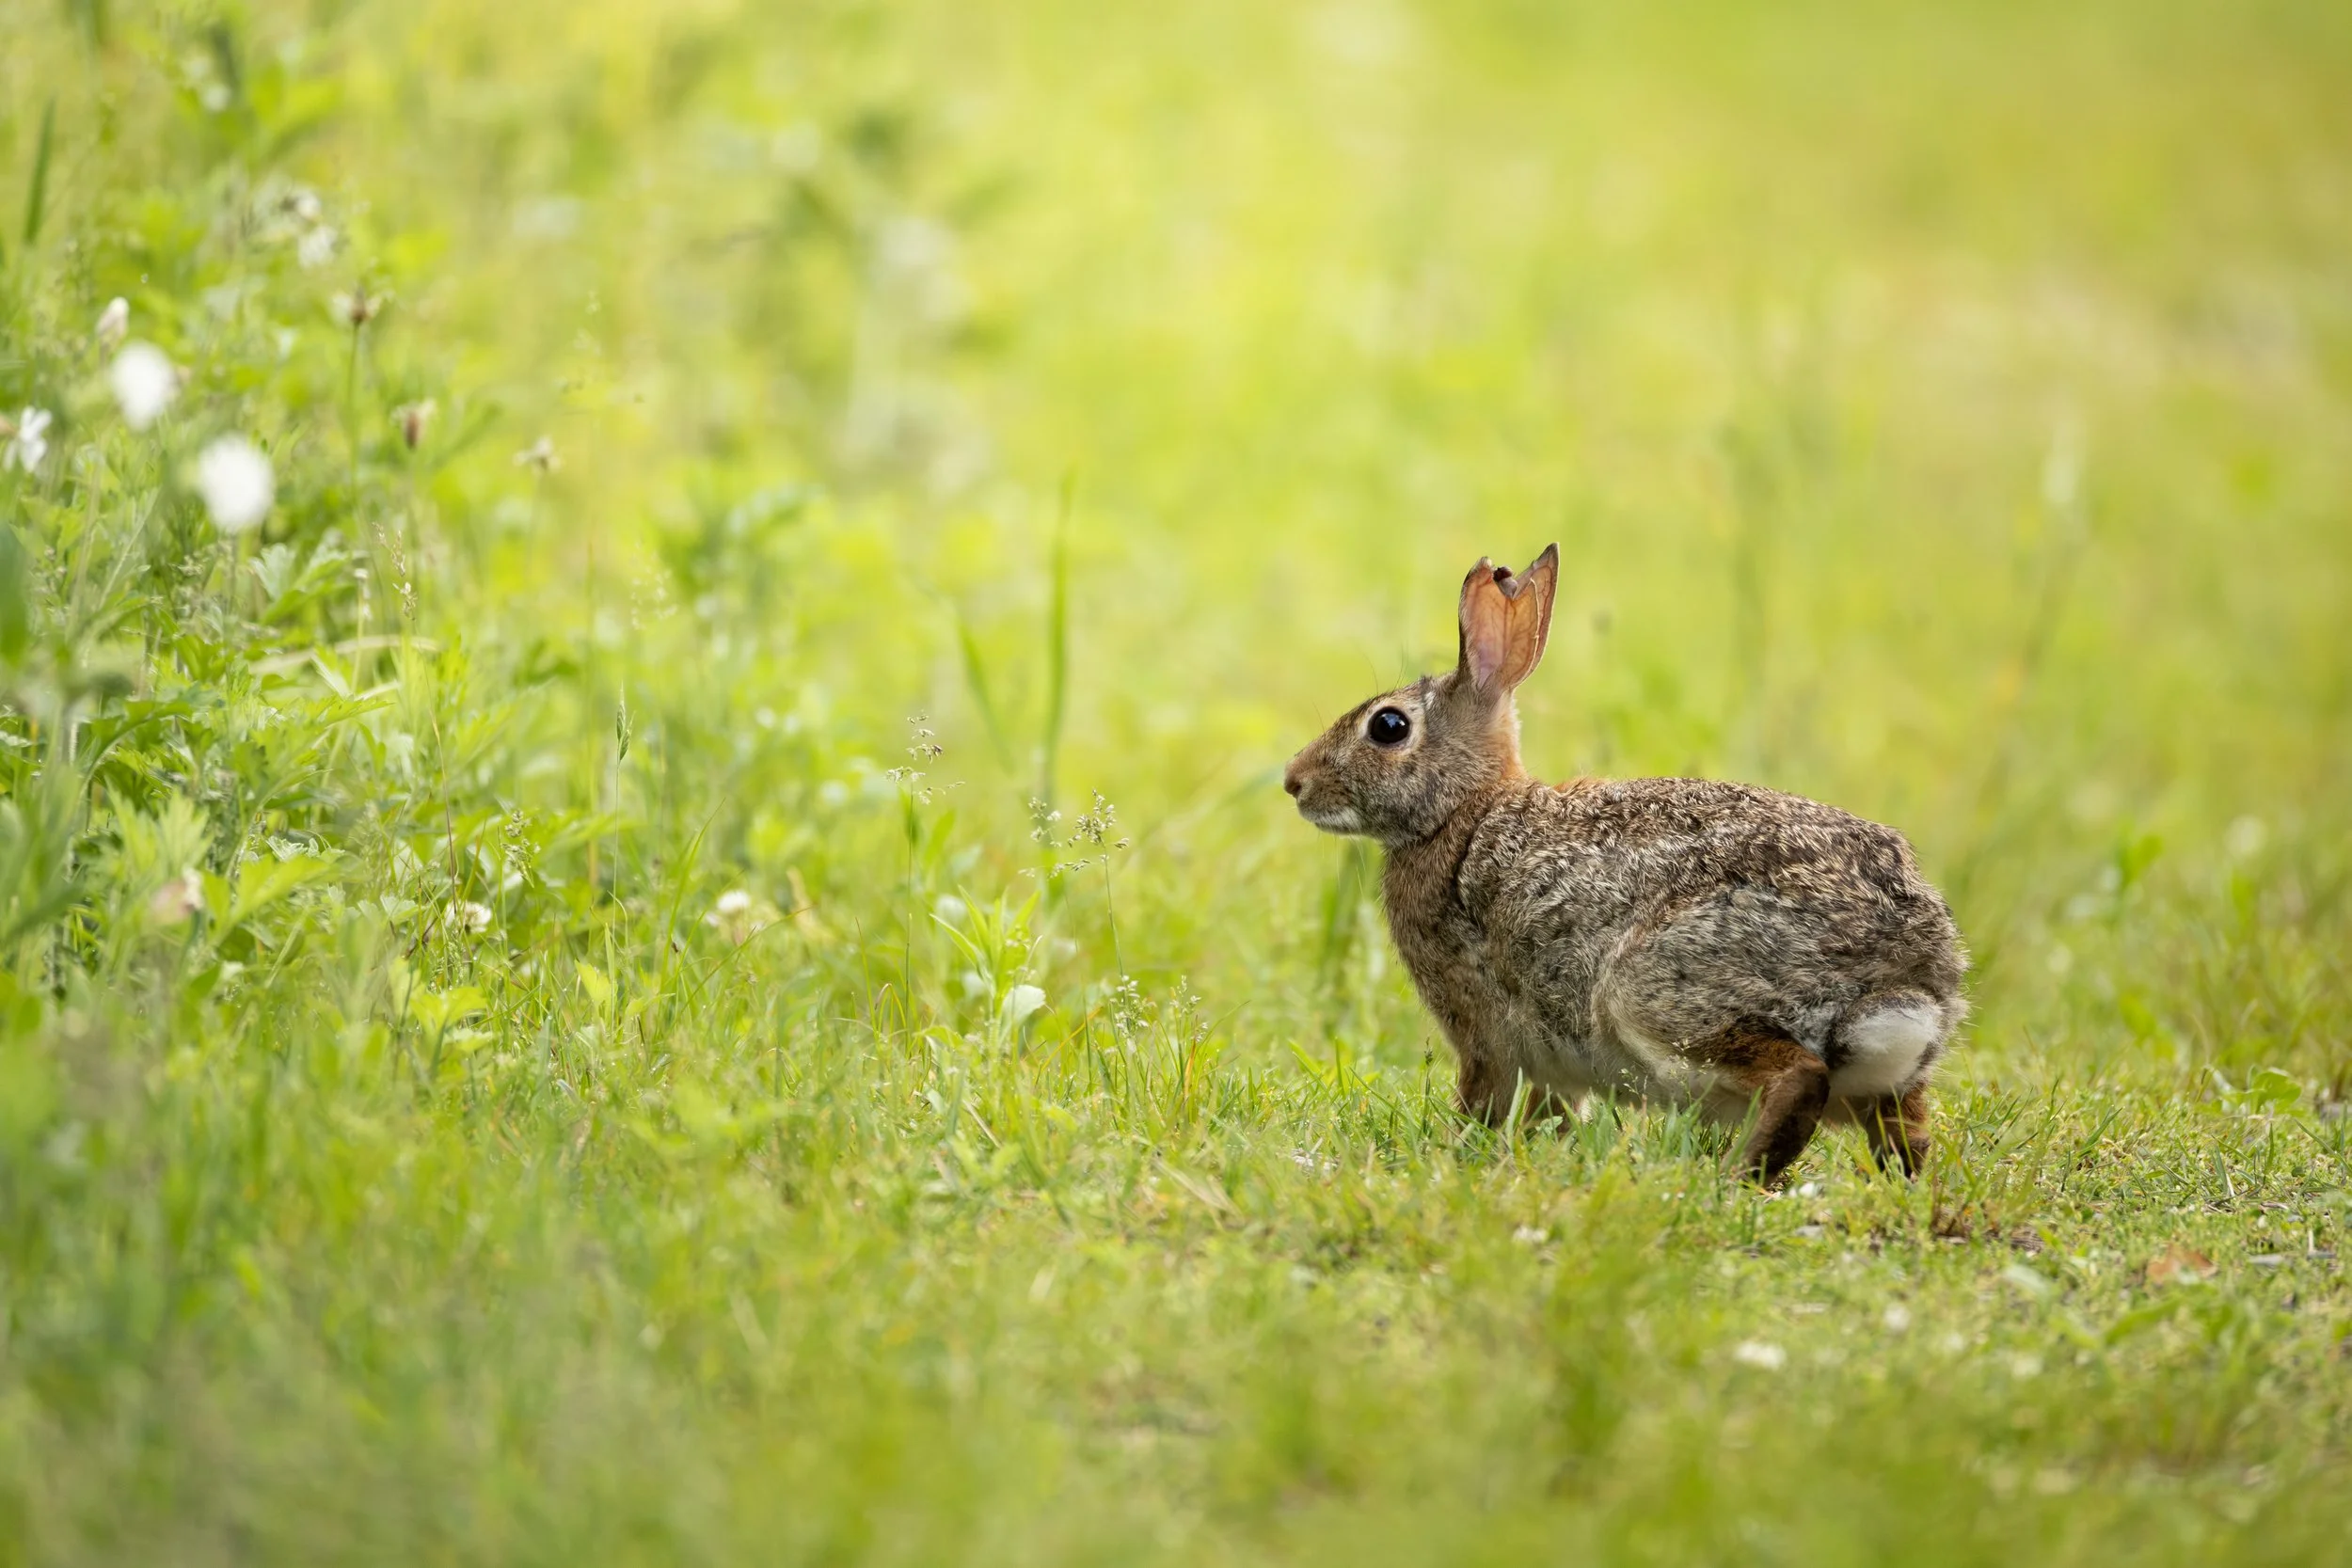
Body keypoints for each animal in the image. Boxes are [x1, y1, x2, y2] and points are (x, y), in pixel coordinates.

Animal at [1282, 545, 1967, 1184]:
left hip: (1655, 995)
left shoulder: (1485, 1030)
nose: (1295, 782)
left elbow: (1489, 1099)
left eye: (1388, 726)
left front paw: (1455, 1154)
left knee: (1800, 1076)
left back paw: (1733, 1178)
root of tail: (1906, 968)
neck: (1463, 812)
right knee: (1904, 1127)